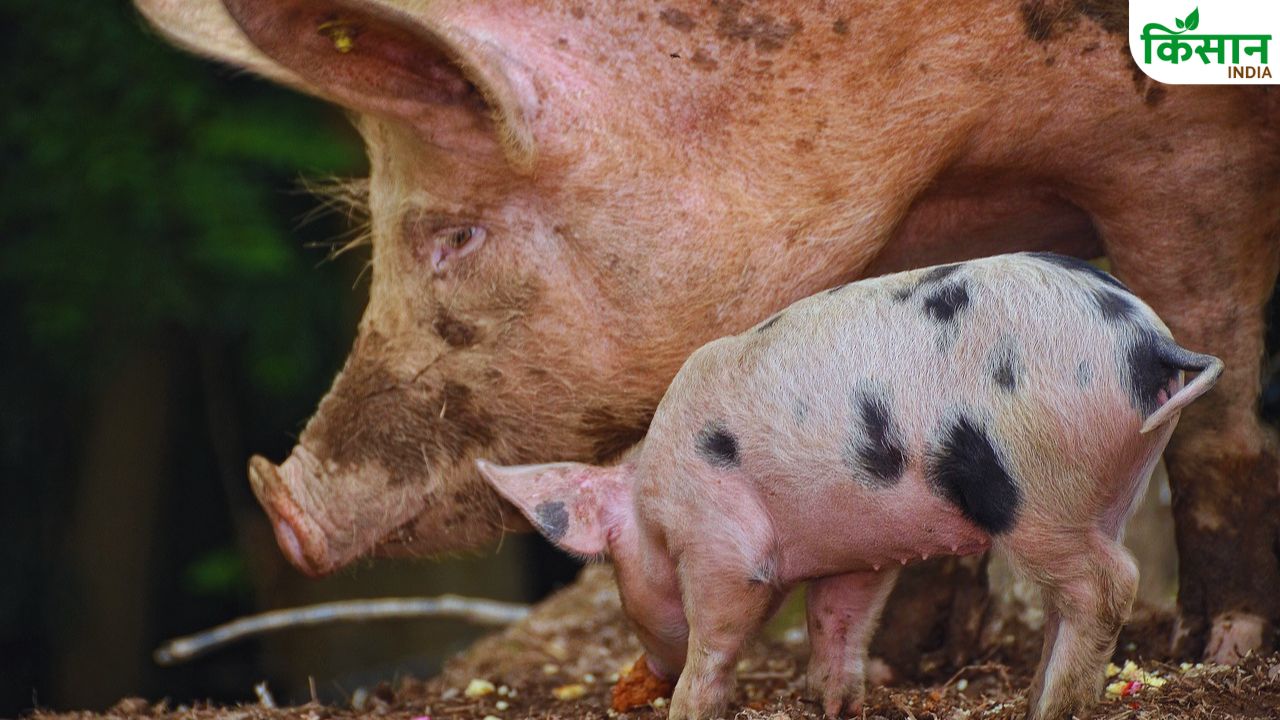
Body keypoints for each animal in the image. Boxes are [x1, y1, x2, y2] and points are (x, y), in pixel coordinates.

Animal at [135, 0, 1280, 661]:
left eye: (454, 234)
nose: (281, 504)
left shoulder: (1181, 150)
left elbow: (1218, 400)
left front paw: (1213, 653)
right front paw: (901, 664)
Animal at [477, 253, 1221, 720]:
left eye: (612, 571)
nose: (648, 678)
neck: (651, 501)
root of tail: (1148, 343)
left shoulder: (719, 542)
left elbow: (720, 629)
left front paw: (687, 708)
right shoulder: (856, 552)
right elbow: (837, 621)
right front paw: (835, 706)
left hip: (1038, 488)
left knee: (1109, 584)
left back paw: (1050, 709)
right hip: (1115, 484)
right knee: (1079, 593)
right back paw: (1038, 697)